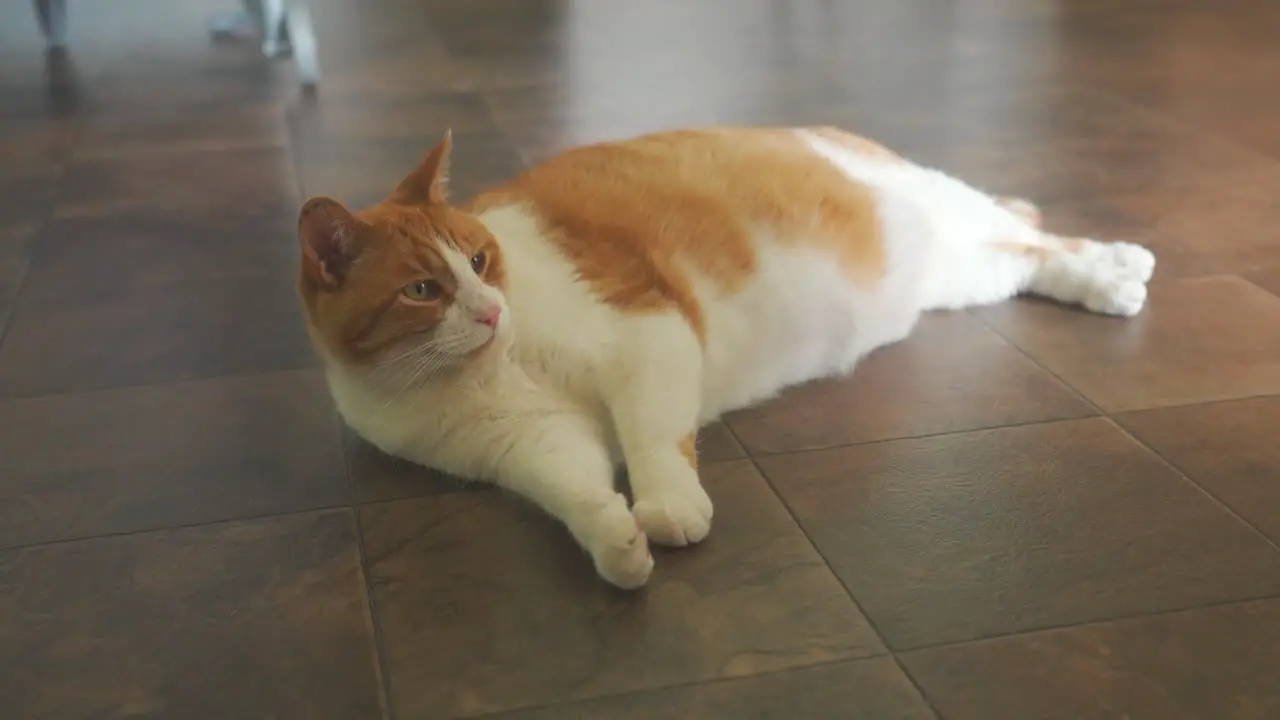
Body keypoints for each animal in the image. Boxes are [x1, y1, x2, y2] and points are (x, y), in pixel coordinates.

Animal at [299, 126, 1162, 589]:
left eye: (480, 260)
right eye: (422, 289)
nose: (489, 309)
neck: (488, 370)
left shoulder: (646, 335)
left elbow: (653, 439)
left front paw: (667, 505)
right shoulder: (530, 444)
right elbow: (576, 488)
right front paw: (616, 541)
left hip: (949, 216)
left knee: (1038, 232)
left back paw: (1119, 265)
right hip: (958, 277)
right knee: (1027, 259)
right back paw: (1104, 277)